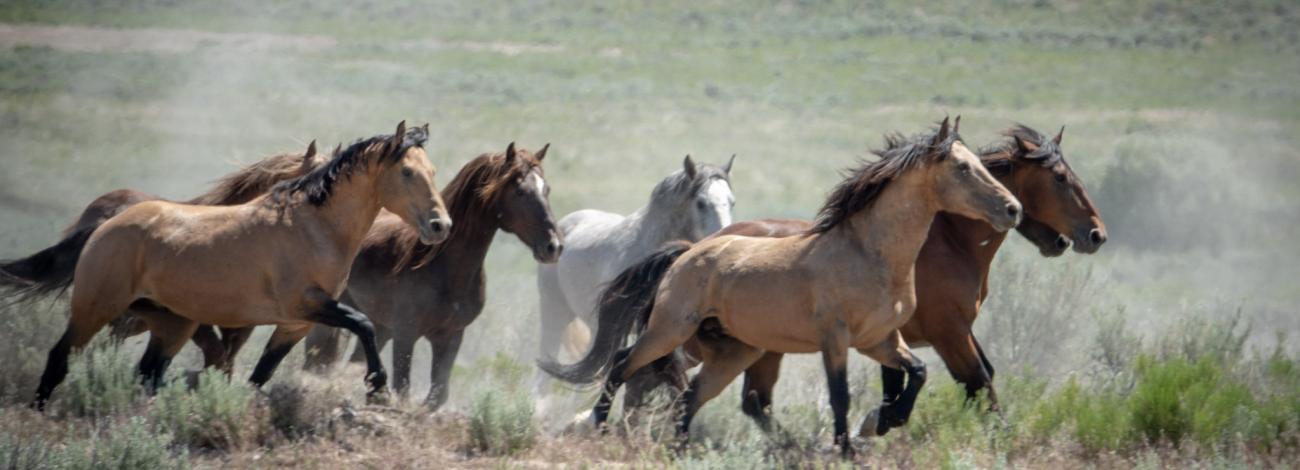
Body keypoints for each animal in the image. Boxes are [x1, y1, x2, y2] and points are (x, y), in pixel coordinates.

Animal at [32, 122, 449, 407]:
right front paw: (377, 387)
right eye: (407, 173)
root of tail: (106, 226)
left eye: (434, 172)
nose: (440, 226)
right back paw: (40, 413)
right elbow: (364, 324)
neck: (312, 227)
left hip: (170, 323)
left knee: (148, 373)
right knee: (59, 357)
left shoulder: (294, 323)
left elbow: (261, 374)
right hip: (96, 309)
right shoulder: (306, 305)